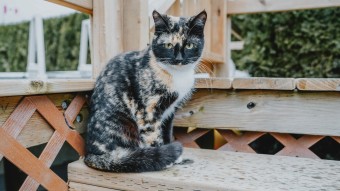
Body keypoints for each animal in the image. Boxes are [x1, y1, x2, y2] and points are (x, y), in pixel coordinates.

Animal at [85, 9, 207, 172]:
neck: (177, 74)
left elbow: (167, 133)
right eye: (168, 45)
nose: (179, 59)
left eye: (189, 45)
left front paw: (176, 158)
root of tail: (90, 155)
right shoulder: (148, 112)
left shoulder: (170, 112)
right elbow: (153, 136)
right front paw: (165, 158)